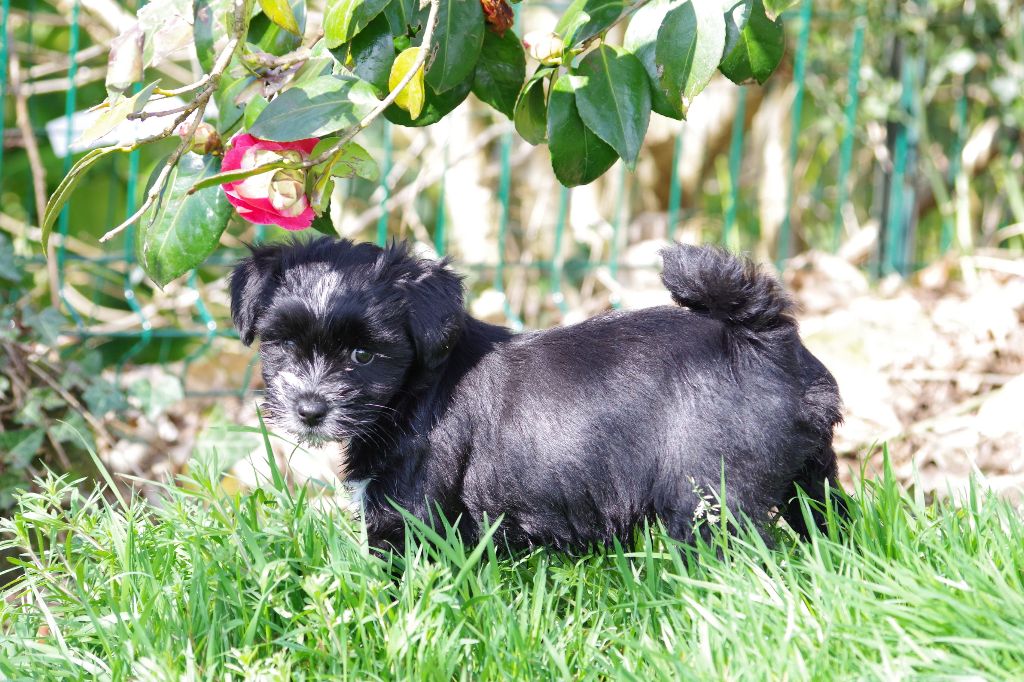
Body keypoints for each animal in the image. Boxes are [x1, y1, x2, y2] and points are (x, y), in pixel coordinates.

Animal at [230, 238, 844, 552]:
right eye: (283, 343)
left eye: (363, 356)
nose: (310, 409)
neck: (414, 389)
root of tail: (768, 341)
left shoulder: (408, 514)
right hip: (811, 475)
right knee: (829, 516)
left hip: (711, 497)